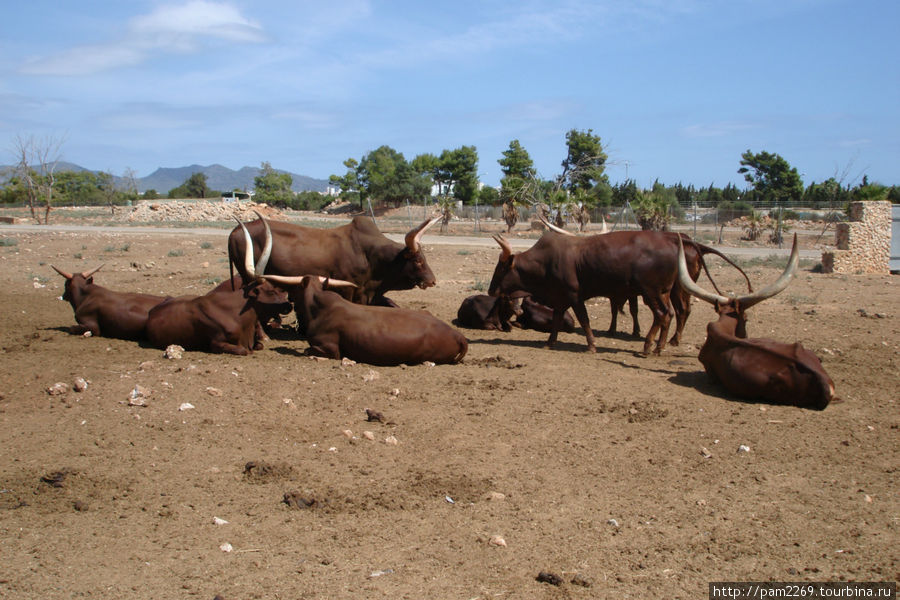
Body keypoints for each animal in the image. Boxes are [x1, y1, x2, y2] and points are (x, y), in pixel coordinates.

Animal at [146, 217, 290, 354]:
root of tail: (152, 312)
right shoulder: (216, 344)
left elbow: (259, 345)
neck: (237, 313)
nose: (289, 305)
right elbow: (243, 350)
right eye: (270, 291)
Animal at [264, 272, 468, 366]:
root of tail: (458, 335)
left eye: (296, 289)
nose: (289, 300)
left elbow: (309, 350)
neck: (318, 308)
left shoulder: (329, 348)